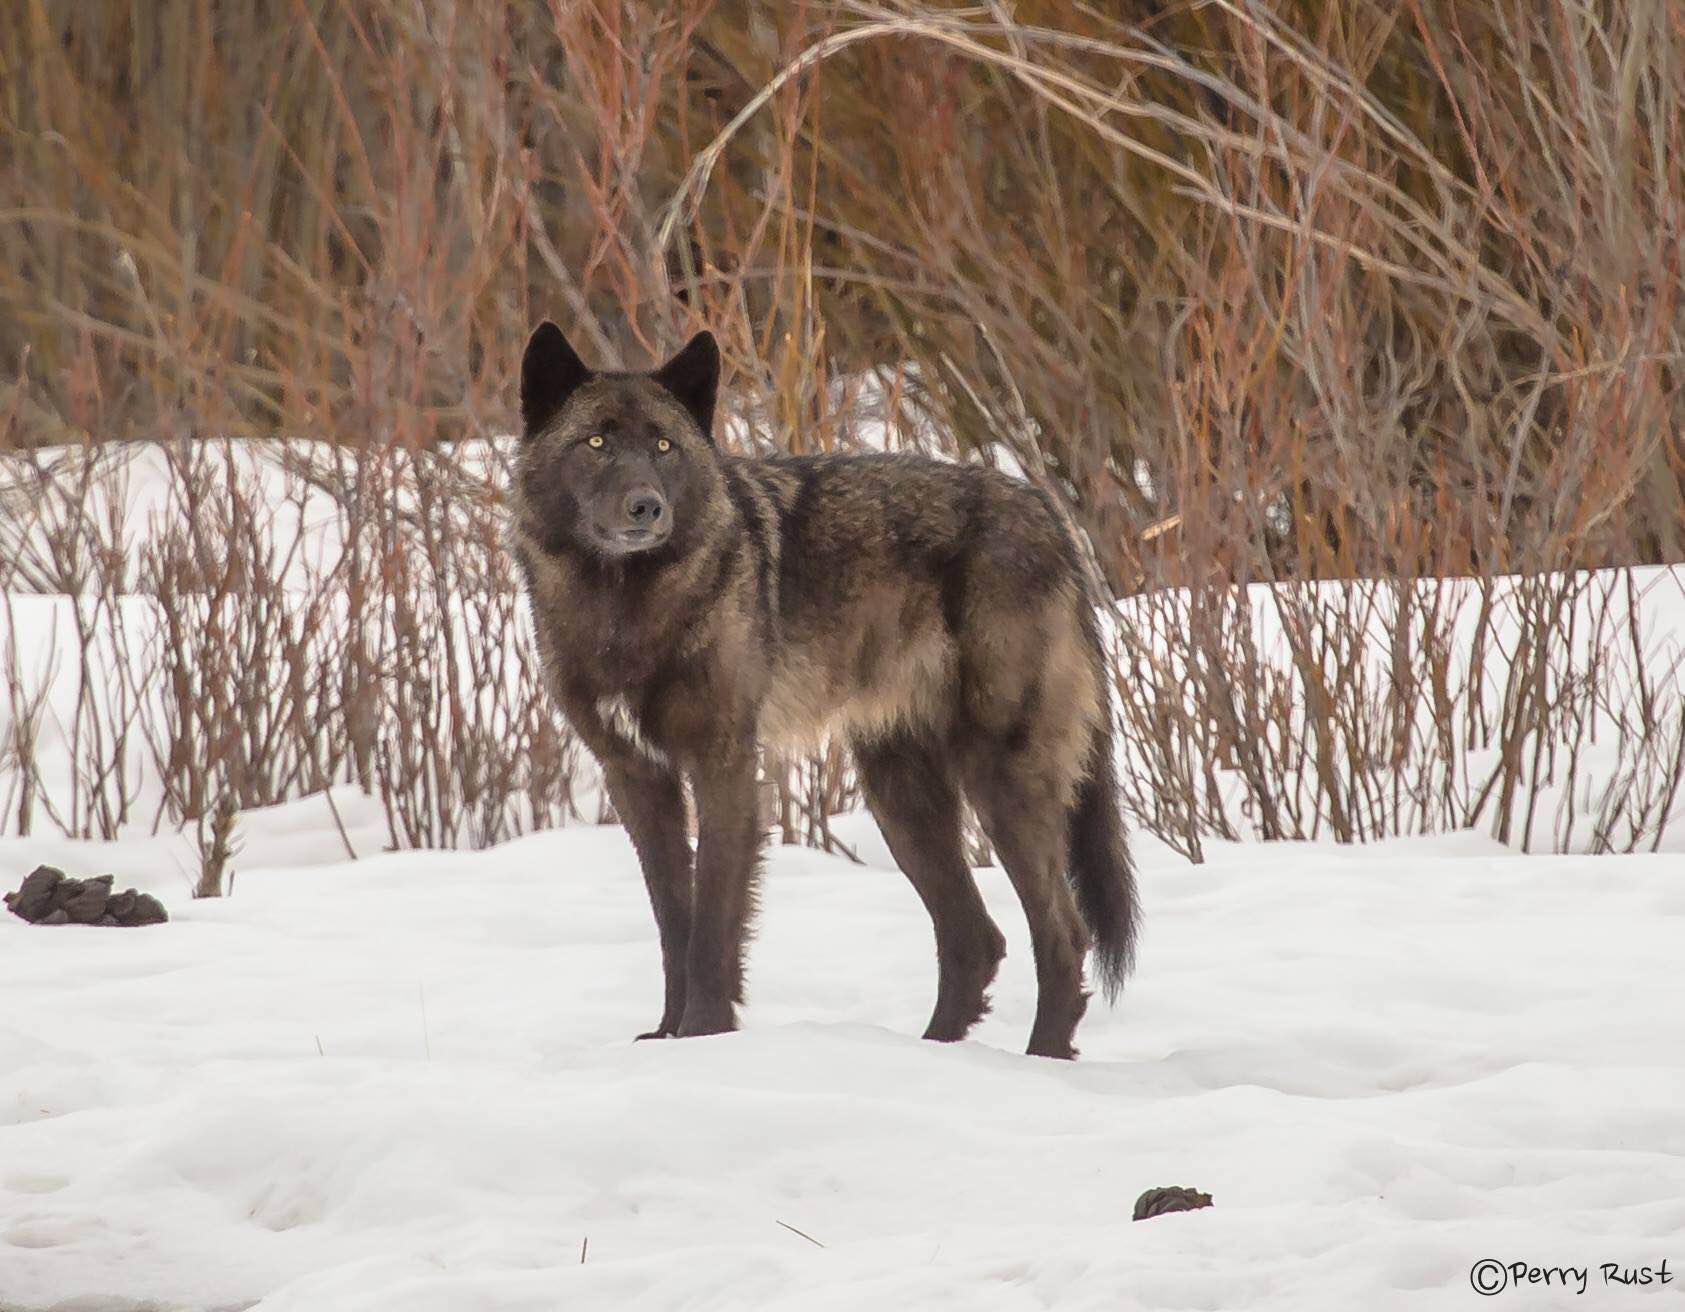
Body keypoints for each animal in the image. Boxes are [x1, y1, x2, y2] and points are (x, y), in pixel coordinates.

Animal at [509, 321, 1139, 1058]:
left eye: (663, 446)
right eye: (596, 443)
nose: (647, 507)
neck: (623, 611)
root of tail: (1048, 511)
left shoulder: (723, 768)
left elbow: (711, 927)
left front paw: (702, 1037)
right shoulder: (637, 779)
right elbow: (673, 922)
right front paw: (667, 1040)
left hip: (998, 784)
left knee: (1062, 935)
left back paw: (1040, 1062)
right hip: (902, 802)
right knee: (975, 938)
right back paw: (935, 1053)